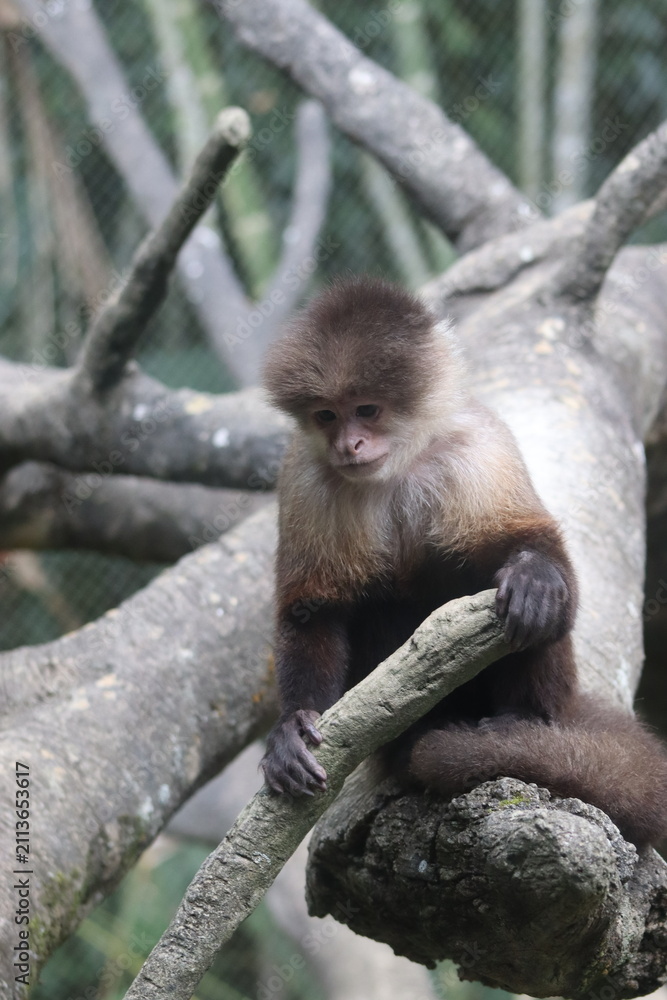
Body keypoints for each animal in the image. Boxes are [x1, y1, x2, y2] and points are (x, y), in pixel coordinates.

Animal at [260, 274, 667, 850]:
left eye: (367, 410)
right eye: (327, 415)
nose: (349, 444)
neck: (397, 469)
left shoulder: (480, 445)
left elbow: (534, 550)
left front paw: (536, 577)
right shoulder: (303, 475)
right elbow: (315, 609)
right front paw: (291, 729)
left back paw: (520, 720)